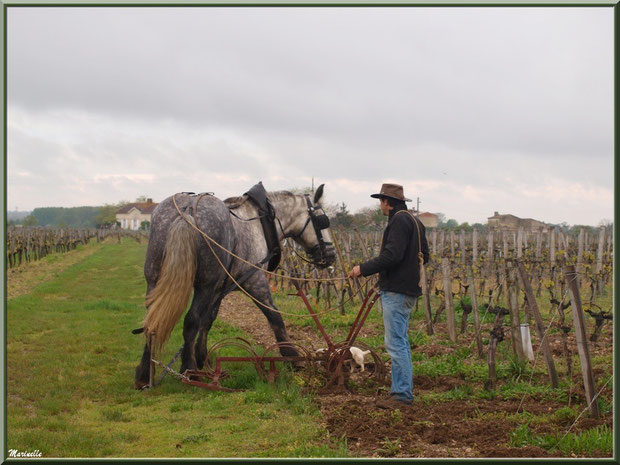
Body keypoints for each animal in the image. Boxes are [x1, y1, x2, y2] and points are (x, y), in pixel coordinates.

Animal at [134, 181, 336, 388]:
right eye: (323, 220)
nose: (331, 255)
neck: (260, 221)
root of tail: (187, 209)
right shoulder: (254, 281)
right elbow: (274, 316)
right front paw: (292, 357)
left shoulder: (219, 287)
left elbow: (208, 319)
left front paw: (202, 356)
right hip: (205, 284)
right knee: (190, 321)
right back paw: (189, 372)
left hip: (155, 278)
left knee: (152, 320)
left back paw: (145, 374)